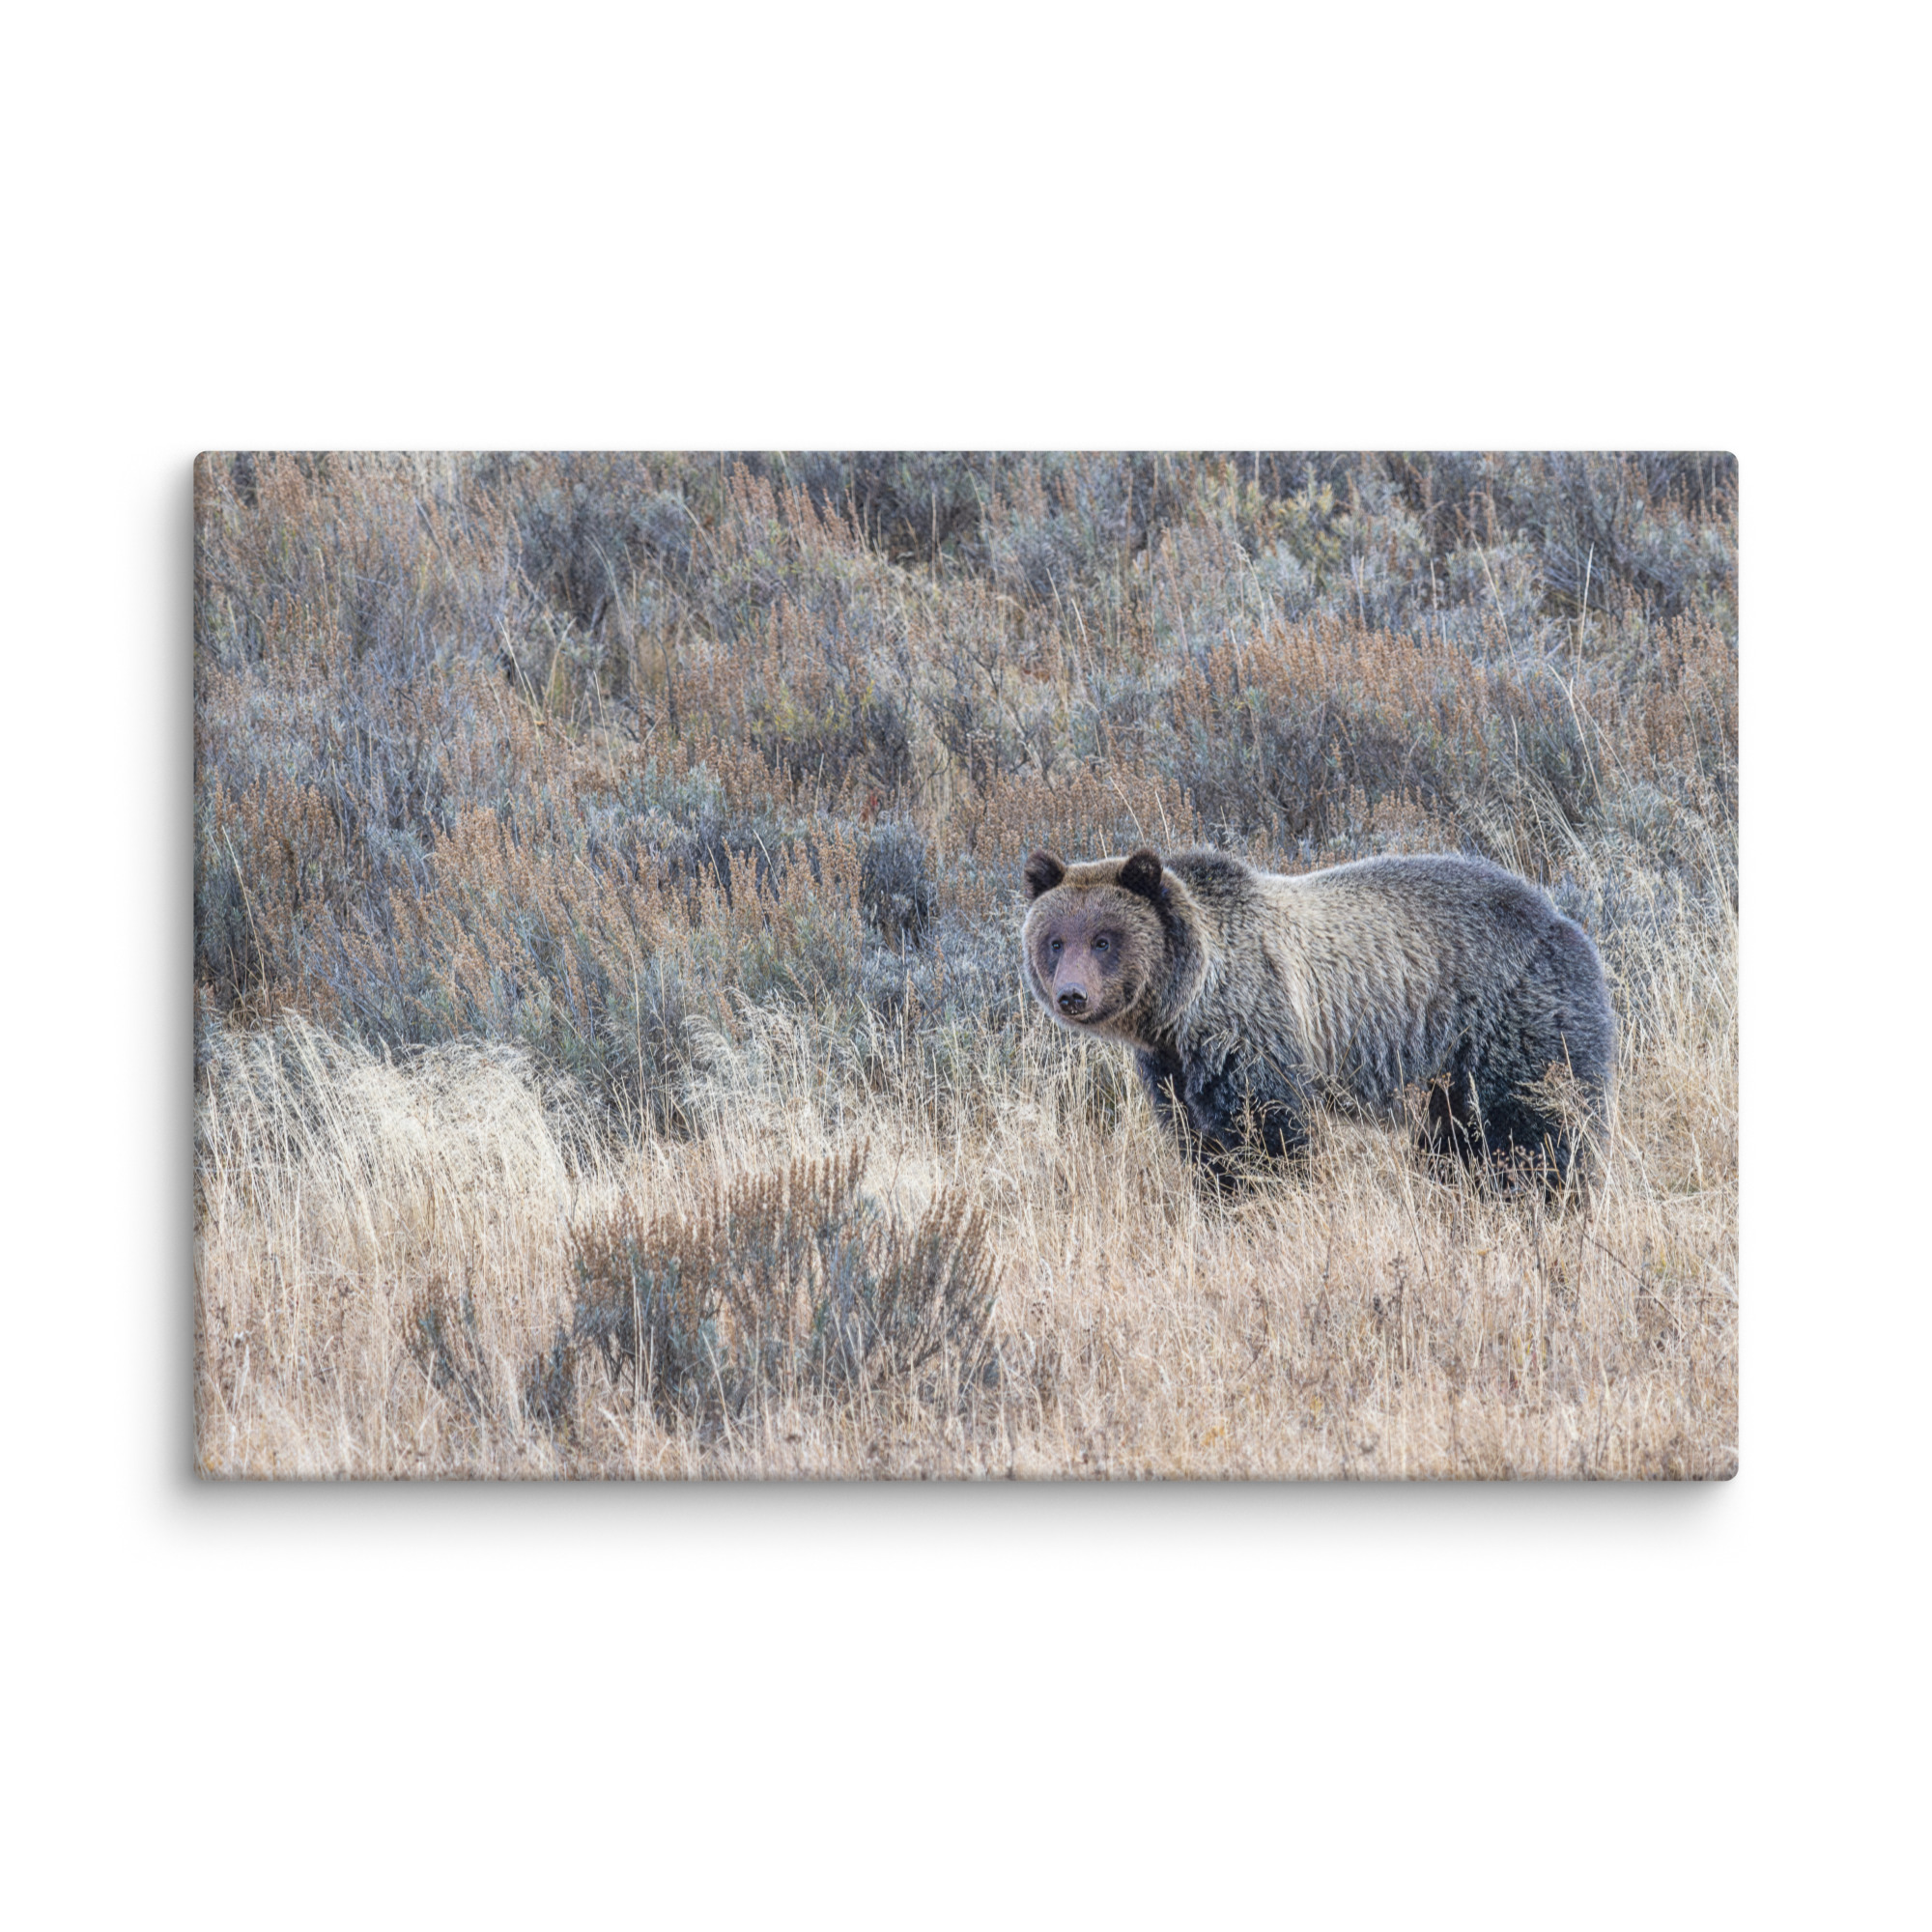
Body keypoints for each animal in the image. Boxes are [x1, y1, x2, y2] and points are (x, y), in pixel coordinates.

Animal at [1020, 845, 1615, 1190]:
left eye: (1103, 939)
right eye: (1055, 941)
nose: (1072, 995)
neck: (1183, 1007)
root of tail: (1563, 920)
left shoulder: (1253, 1030)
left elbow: (1269, 1134)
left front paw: (1270, 1196)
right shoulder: (1173, 1069)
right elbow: (1201, 1143)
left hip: (1512, 1022)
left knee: (1536, 1126)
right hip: (1449, 1071)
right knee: (1456, 1139)